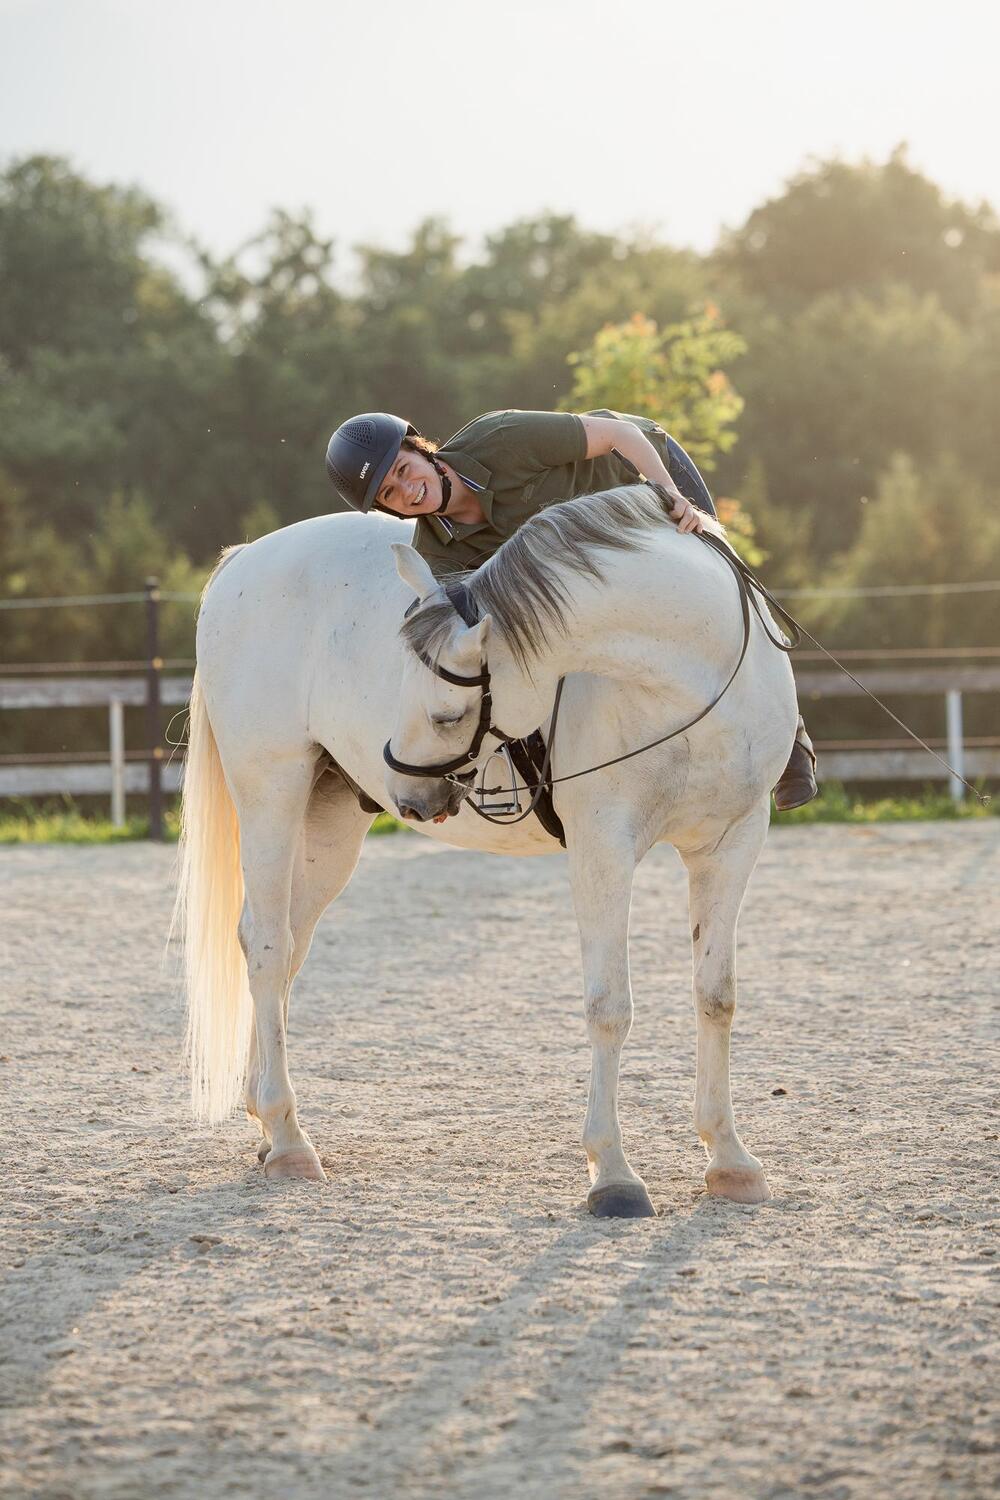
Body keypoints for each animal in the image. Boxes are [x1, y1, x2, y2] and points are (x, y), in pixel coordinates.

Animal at [173, 486, 797, 1212]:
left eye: (446, 714)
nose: (411, 796)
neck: (694, 679)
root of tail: (244, 560)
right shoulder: (603, 846)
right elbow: (609, 1006)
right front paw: (613, 1173)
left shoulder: (733, 842)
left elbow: (716, 996)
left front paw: (729, 1158)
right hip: (270, 791)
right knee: (268, 948)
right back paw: (289, 1139)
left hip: (329, 820)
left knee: (285, 947)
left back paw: (268, 1125)